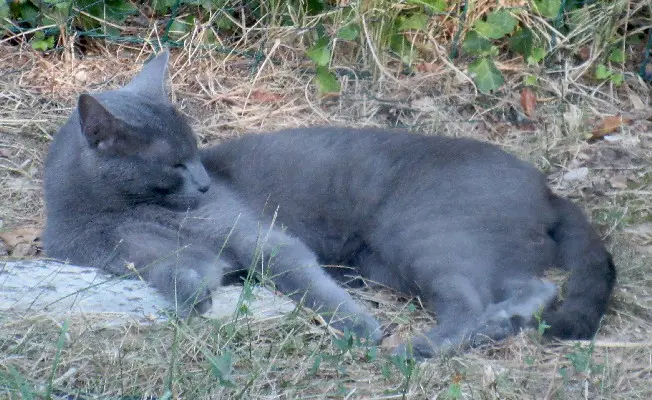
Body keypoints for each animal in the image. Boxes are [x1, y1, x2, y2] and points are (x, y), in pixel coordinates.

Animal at [44, 50, 616, 360]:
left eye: (196, 156)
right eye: (175, 164)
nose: (205, 185)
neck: (120, 209)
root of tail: (548, 190)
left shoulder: (262, 237)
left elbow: (298, 272)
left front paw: (357, 325)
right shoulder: (125, 254)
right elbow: (172, 268)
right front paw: (194, 296)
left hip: (423, 235)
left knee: (474, 301)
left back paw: (424, 346)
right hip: (427, 255)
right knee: (532, 286)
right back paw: (503, 323)